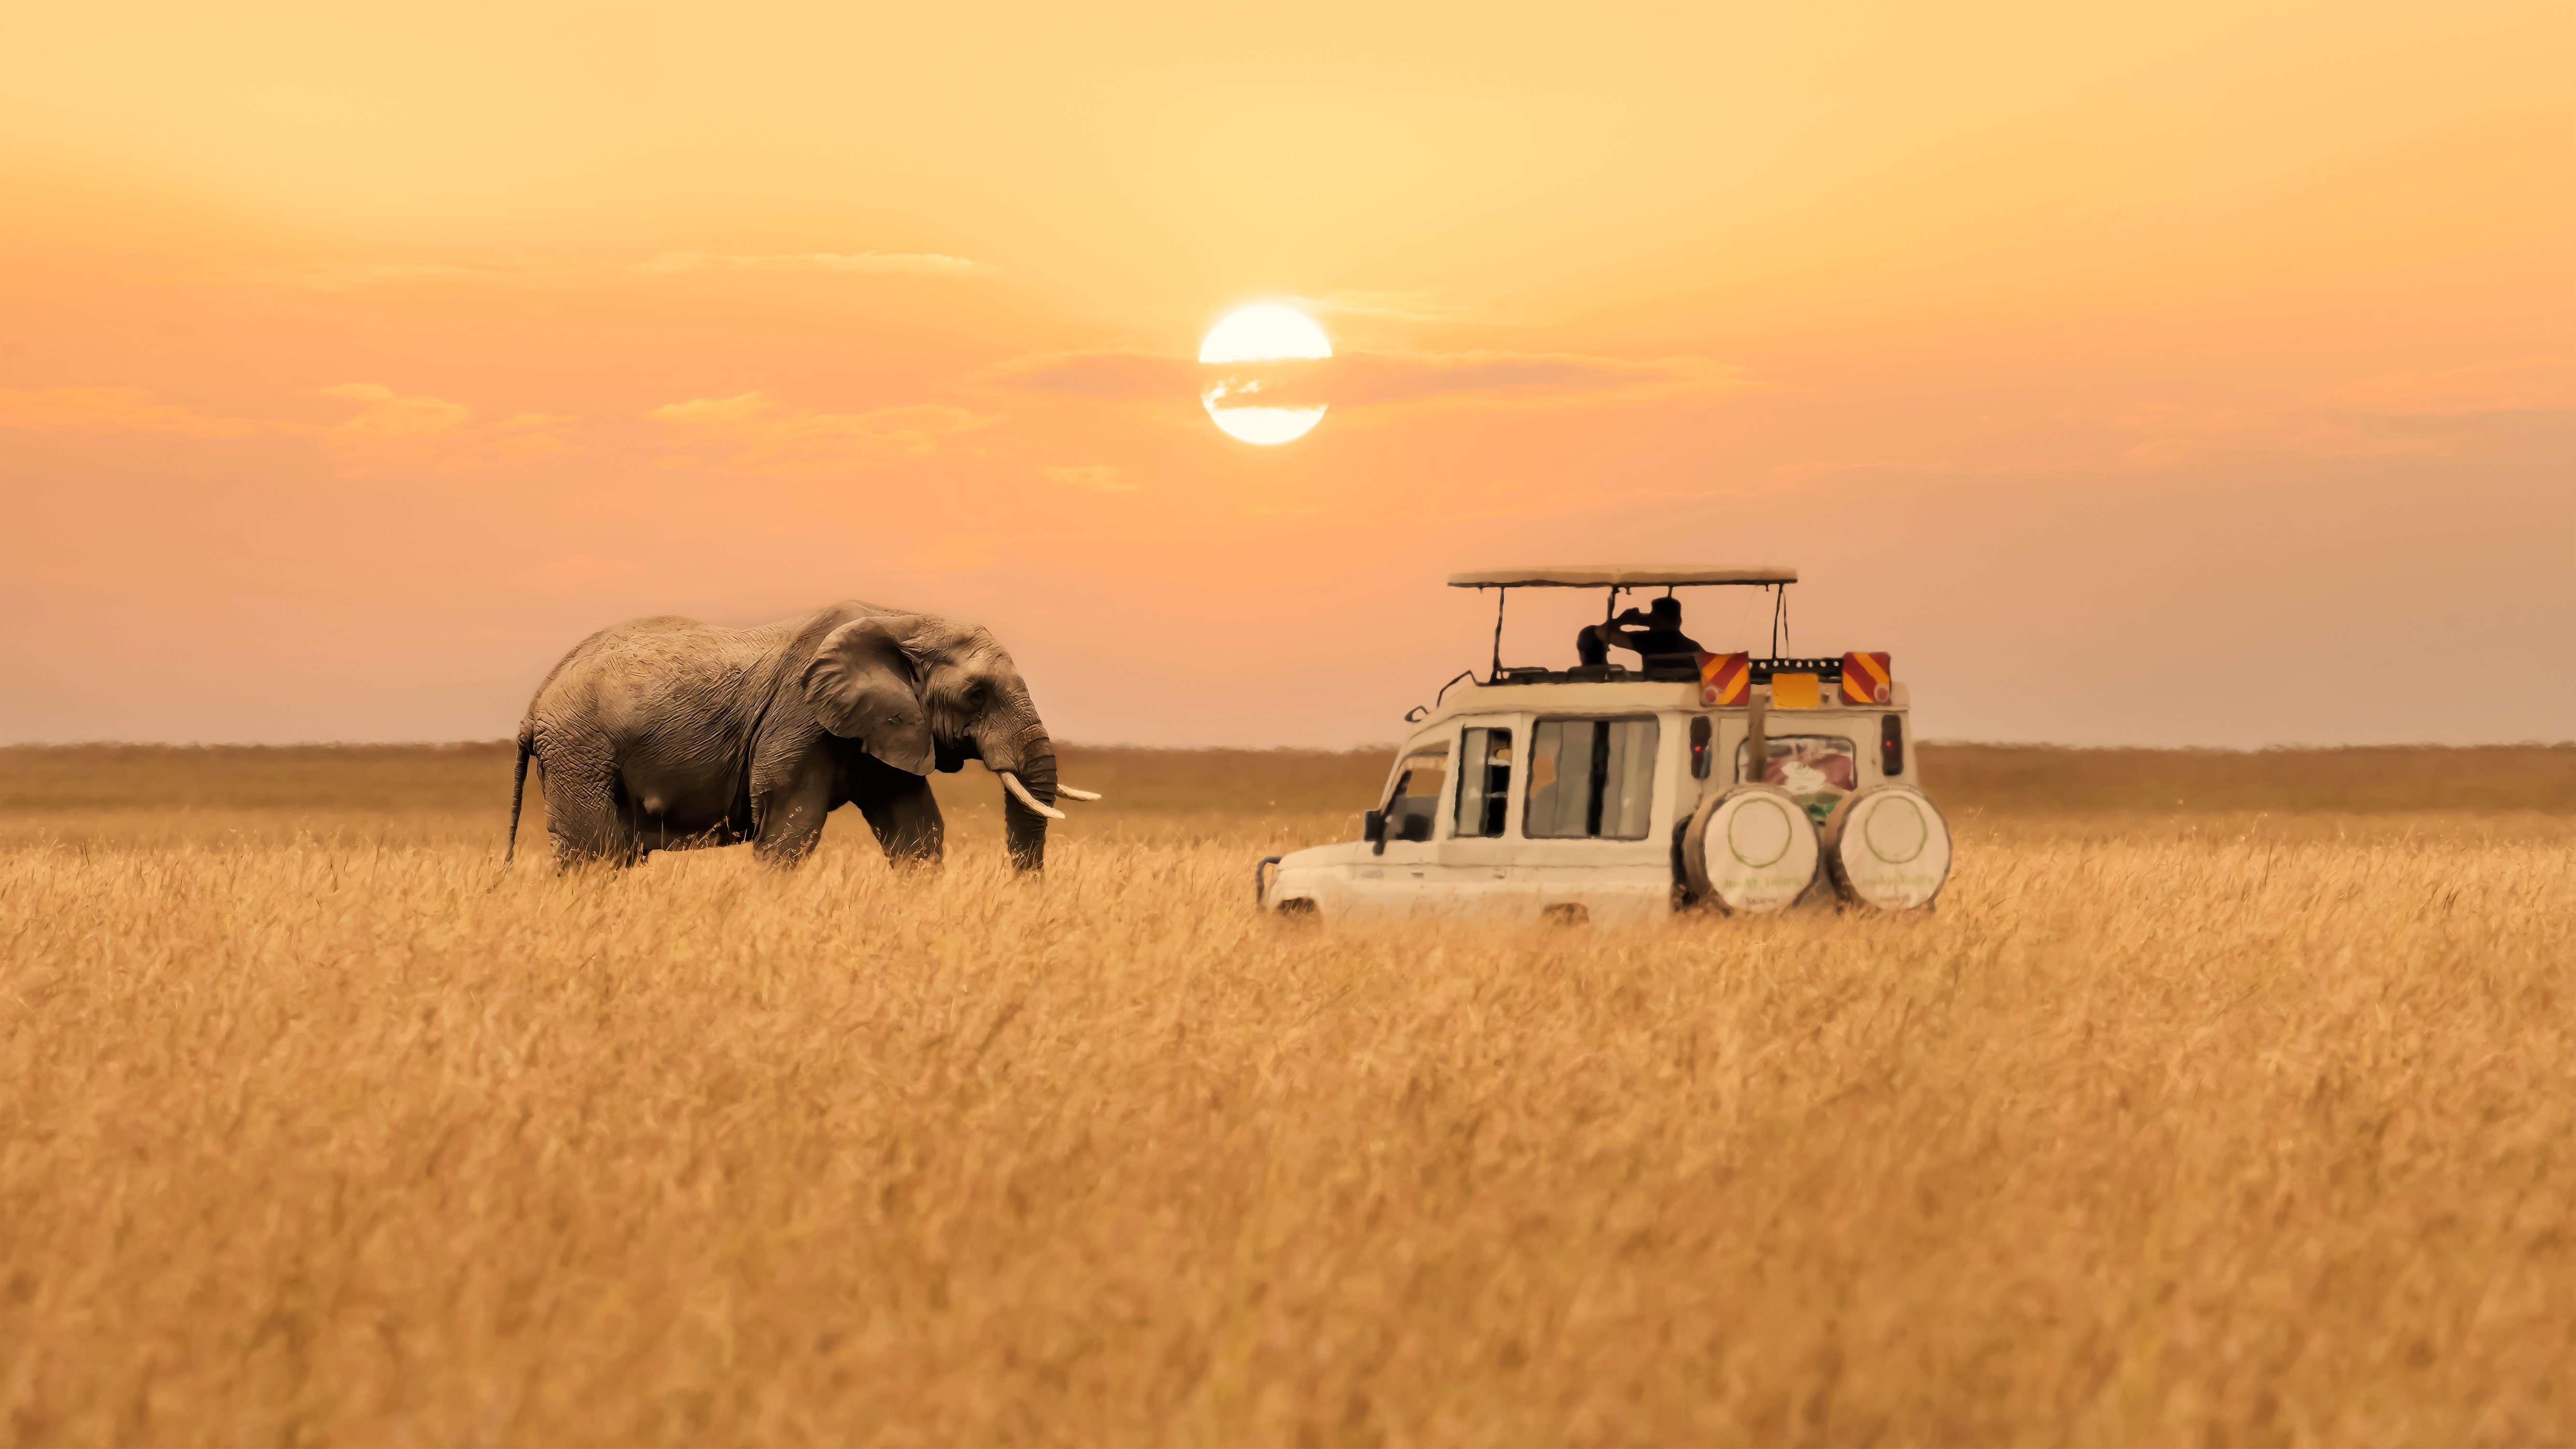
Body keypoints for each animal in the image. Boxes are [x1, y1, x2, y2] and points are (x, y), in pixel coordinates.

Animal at [503, 600, 1098, 871]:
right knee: (594, 855)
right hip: (581, 750)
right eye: (976, 695)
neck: (903, 620)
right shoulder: (799, 722)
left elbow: (917, 832)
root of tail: (535, 703)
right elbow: (791, 829)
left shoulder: (888, 729)